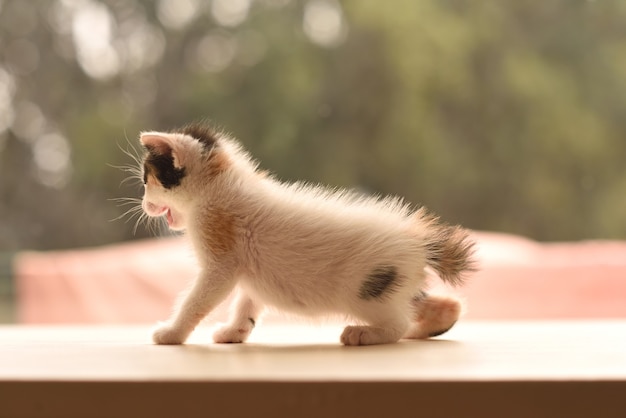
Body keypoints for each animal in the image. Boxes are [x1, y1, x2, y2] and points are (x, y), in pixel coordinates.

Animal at [138, 121, 472, 346]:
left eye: (146, 179)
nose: (143, 203)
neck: (220, 183)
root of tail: (420, 241)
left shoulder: (221, 257)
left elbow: (198, 299)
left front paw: (171, 333)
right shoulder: (248, 271)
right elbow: (247, 301)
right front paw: (236, 331)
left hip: (365, 293)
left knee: (397, 324)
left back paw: (364, 334)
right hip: (397, 286)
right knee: (446, 307)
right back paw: (423, 329)